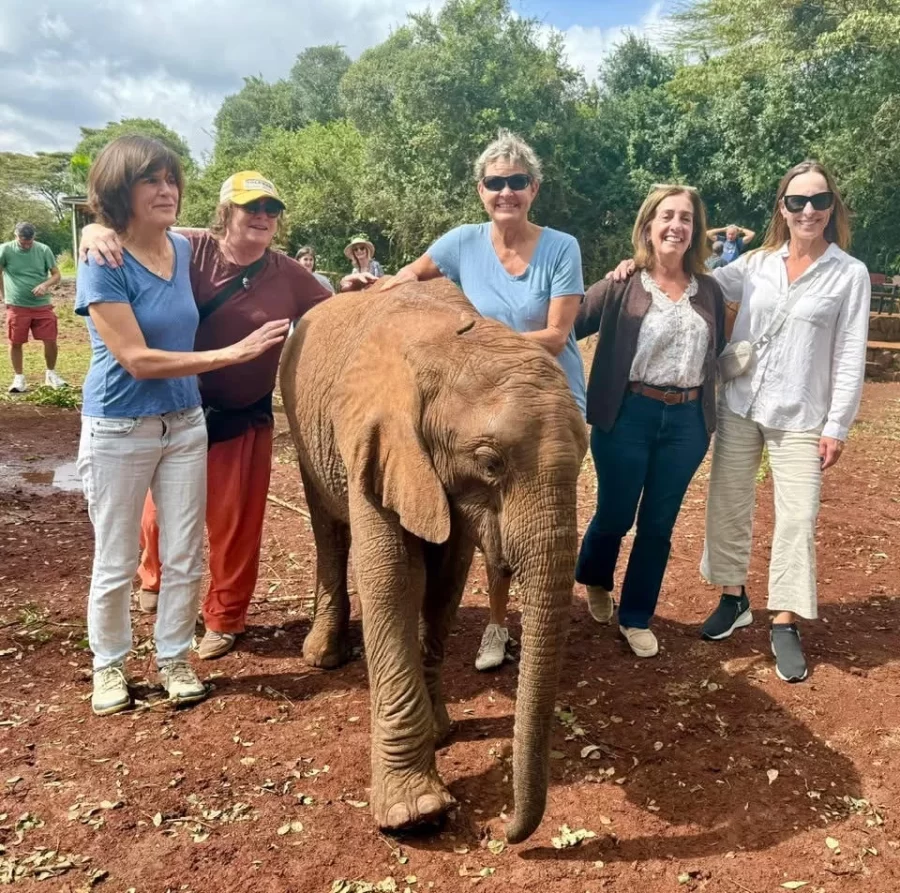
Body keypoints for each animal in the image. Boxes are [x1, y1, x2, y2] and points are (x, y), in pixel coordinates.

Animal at [279, 278, 588, 843]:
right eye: (490, 463)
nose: (507, 833)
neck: (452, 342)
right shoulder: (375, 439)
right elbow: (394, 579)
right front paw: (416, 813)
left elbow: (445, 579)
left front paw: (441, 733)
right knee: (327, 529)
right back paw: (323, 656)